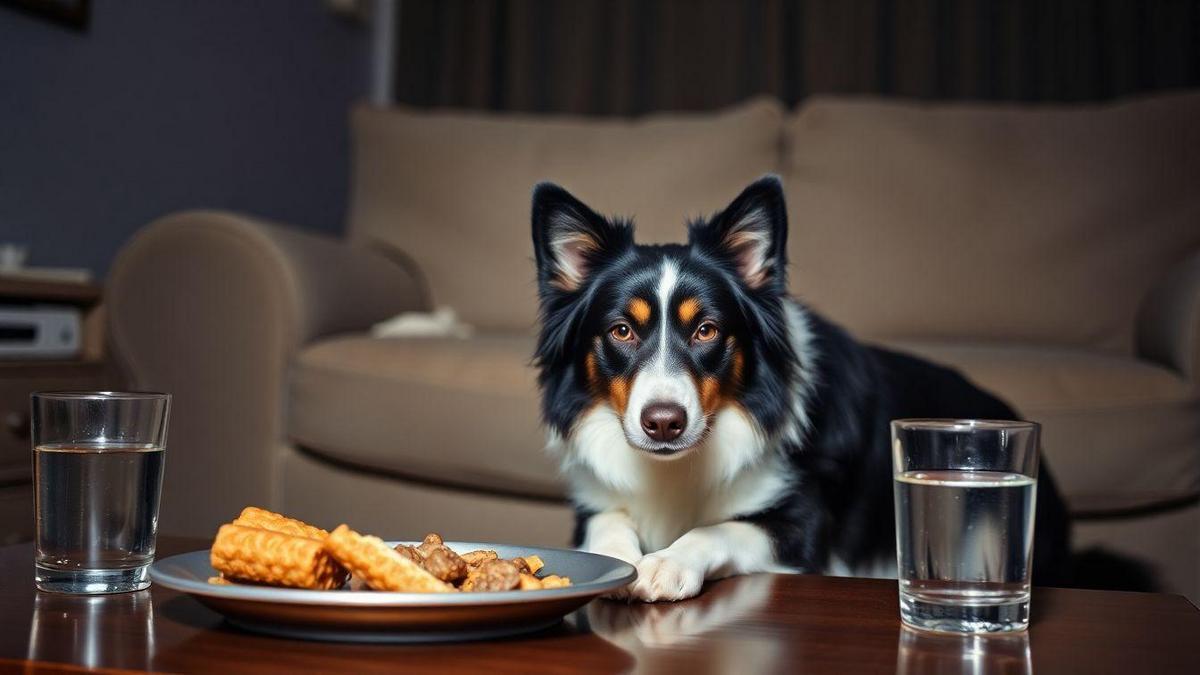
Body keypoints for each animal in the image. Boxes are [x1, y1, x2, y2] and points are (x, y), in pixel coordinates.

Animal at [532, 172, 1070, 598]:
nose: (664, 424)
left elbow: (719, 529)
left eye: (706, 330)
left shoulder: (804, 525)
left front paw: (667, 562)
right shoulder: (593, 505)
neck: (677, 466)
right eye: (621, 331)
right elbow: (608, 522)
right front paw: (619, 564)